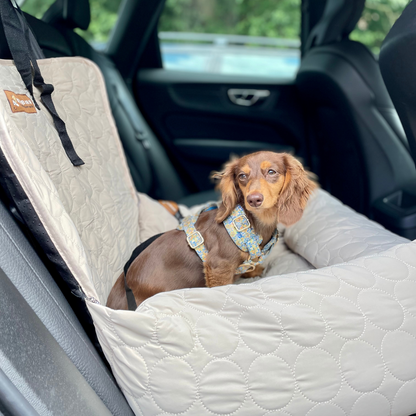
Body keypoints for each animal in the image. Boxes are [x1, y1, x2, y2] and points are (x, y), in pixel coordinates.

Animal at [106, 152, 316, 308]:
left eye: (272, 171)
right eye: (242, 176)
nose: (254, 199)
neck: (251, 222)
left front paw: (253, 270)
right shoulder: (218, 266)